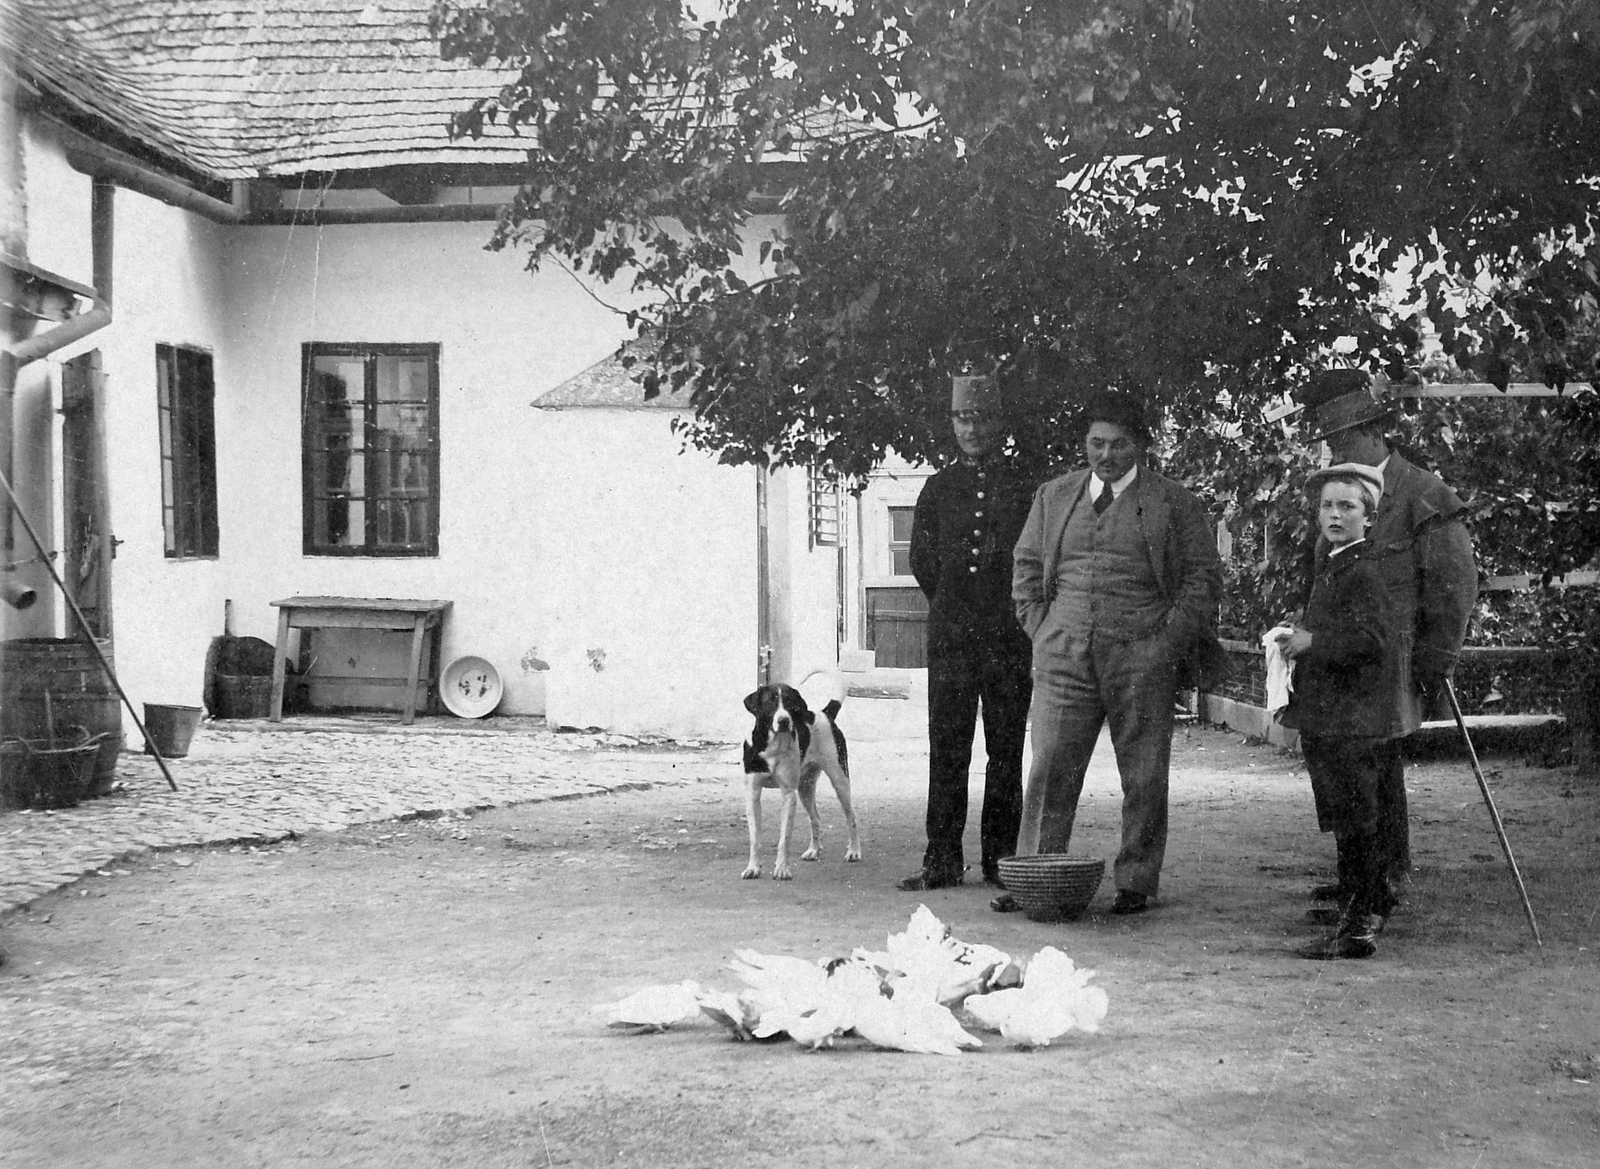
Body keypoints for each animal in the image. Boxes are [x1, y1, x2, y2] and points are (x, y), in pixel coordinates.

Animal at [739, 681, 864, 882]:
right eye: (770, 702)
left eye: (791, 703)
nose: (784, 721)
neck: (773, 746)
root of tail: (825, 713)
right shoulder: (752, 794)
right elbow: (755, 839)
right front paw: (753, 868)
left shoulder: (788, 795)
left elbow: (784, 839)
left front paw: (782, 869)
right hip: (805, 787)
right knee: (815, 818)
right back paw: (814, 850)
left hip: (839, 781)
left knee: (851, 818)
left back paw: (853, 851)